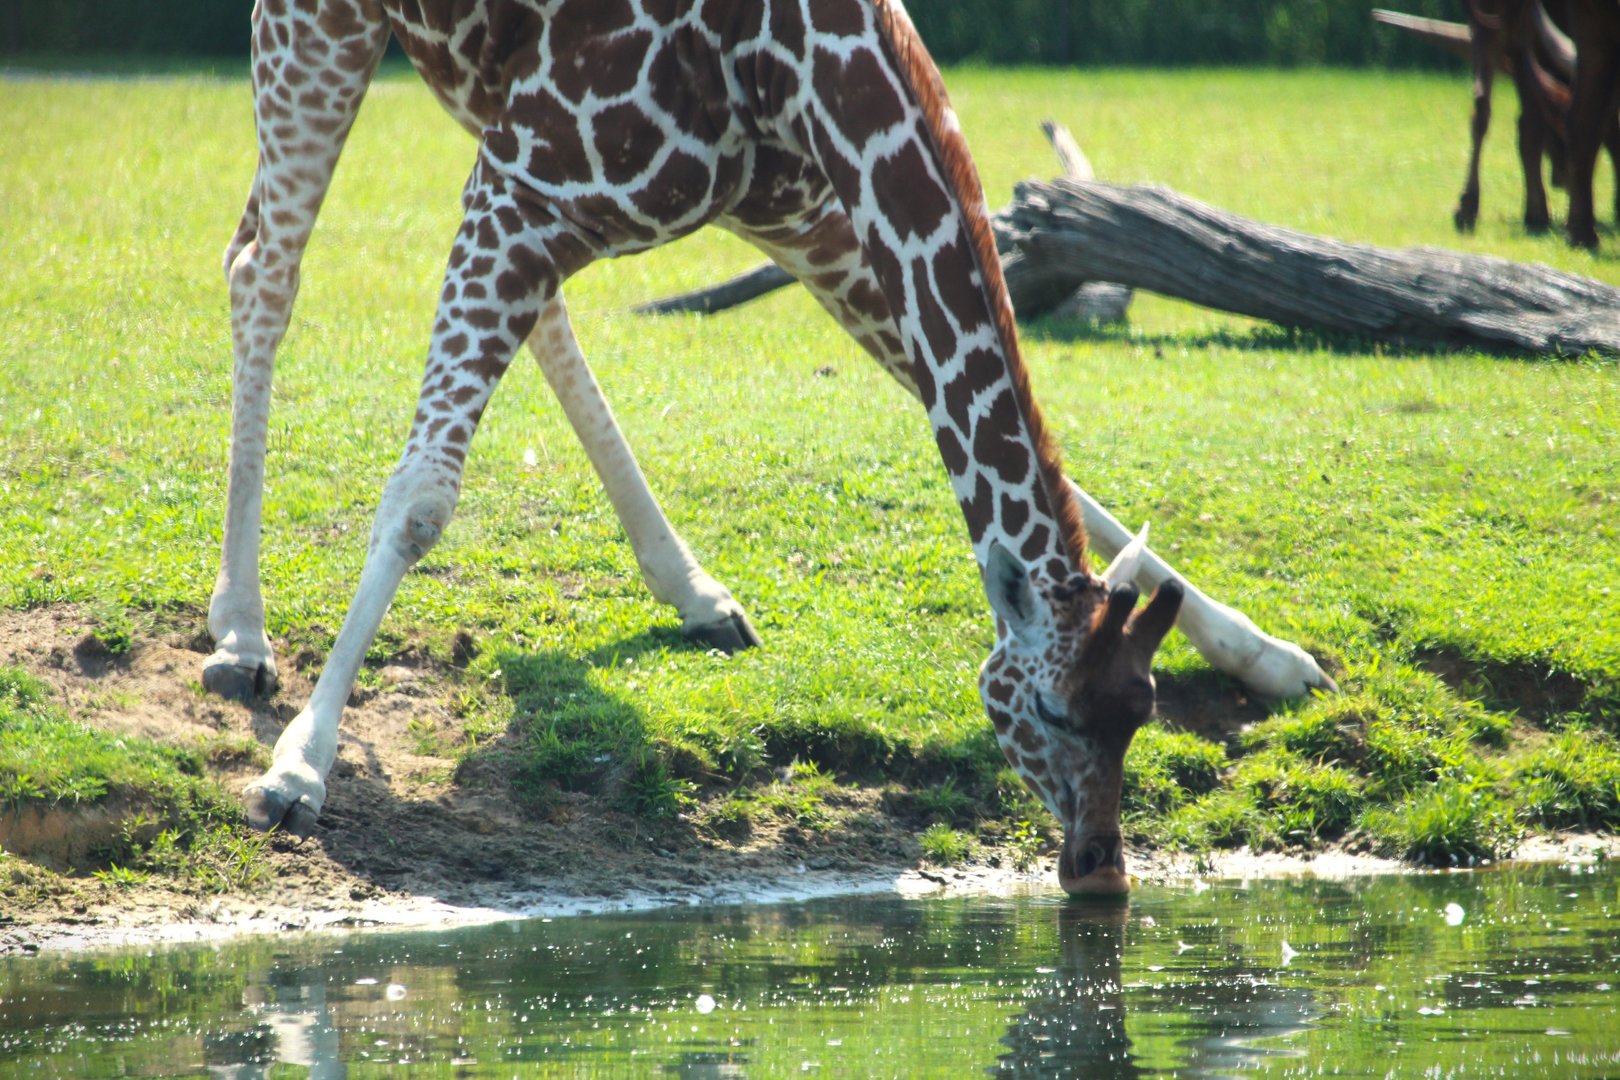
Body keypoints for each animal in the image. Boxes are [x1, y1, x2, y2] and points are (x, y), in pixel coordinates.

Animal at [217, 0, 1336, 895]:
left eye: (1143, 710)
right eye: (1054, 714)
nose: (1102, 869)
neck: (787, 63)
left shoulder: (803, 216)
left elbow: (963, 413)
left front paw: (1272, 656)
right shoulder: (524, 185)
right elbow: (421, 498)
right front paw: (297, 770)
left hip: (477, 86)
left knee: (525, 314)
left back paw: (696, 591)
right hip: (328, 31)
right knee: (260, 267)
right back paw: (240, 635)